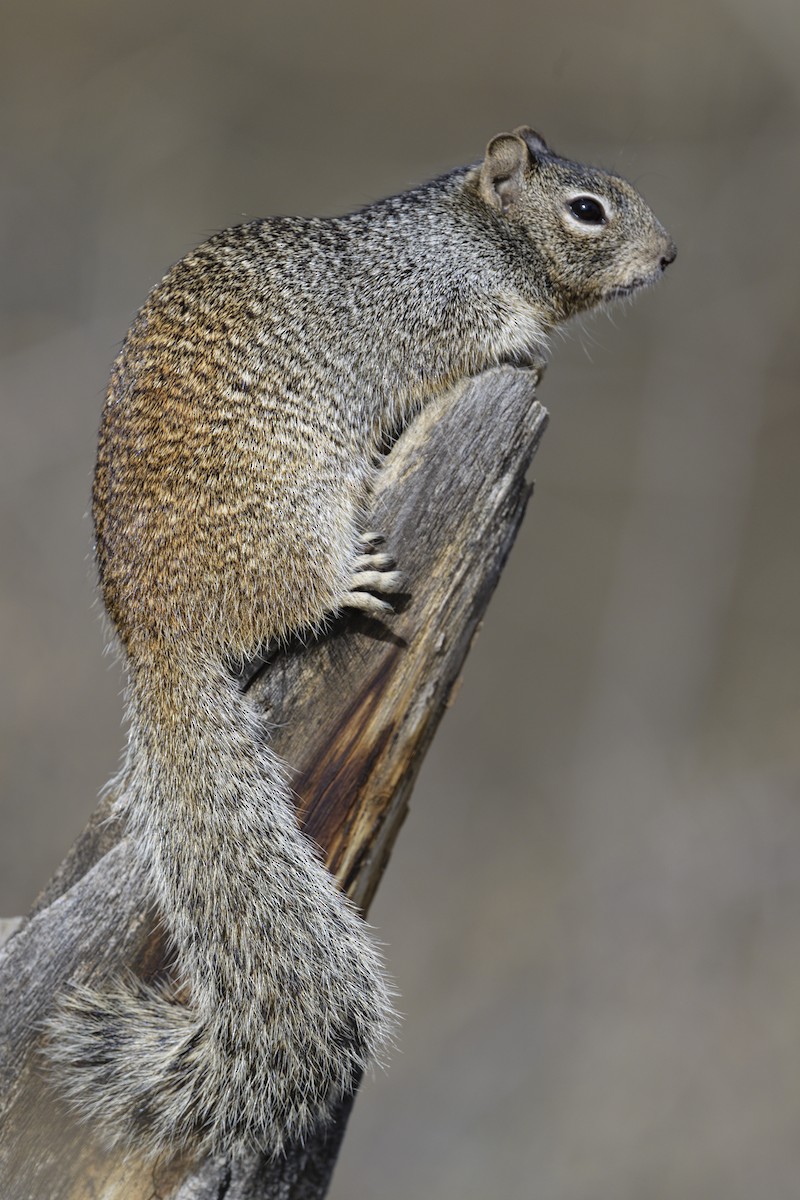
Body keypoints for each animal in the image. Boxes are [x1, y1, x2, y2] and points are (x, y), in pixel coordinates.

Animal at [47, 127, 675, 1163]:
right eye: (587, 209)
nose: (669, 257)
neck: (470, 234)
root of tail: (157, 640)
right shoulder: (440, 313)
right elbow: (485, 340)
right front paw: (532, 345)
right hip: (297, 518)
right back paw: (347, 582)